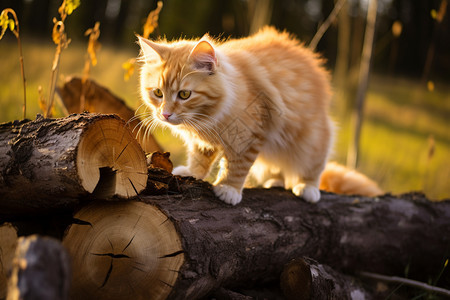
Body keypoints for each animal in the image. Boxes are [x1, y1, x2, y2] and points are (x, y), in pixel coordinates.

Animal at [140, 27, 334, 205]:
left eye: (184, 94)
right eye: (158, 93)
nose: (165, 114)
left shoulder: (248, 135)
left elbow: (236, 166)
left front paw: (228, 188)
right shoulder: (202, 141)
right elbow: (199, 158)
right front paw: (192, 173)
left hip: (311, 138)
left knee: (314, 165)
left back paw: (308, 188)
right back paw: (275, 181)